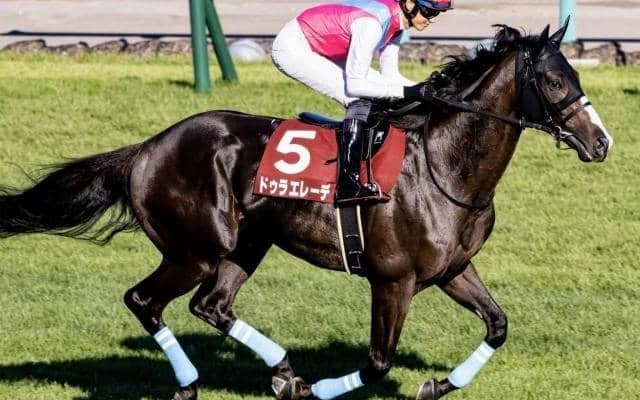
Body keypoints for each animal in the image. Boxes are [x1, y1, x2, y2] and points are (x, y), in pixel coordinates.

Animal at [0, 22, 612, 400]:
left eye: (577, 76)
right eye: (553, 80)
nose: (601, 143)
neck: (444, 167)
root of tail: (147, 148)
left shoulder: (454, 269)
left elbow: (498, 326)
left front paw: (435, 384)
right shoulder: (392, 281)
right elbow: (377, 361)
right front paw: (320, 388)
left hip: (244, 244)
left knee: (211, 306)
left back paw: (281, 372)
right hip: (196, 249)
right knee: (144, 300)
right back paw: (193, 382)